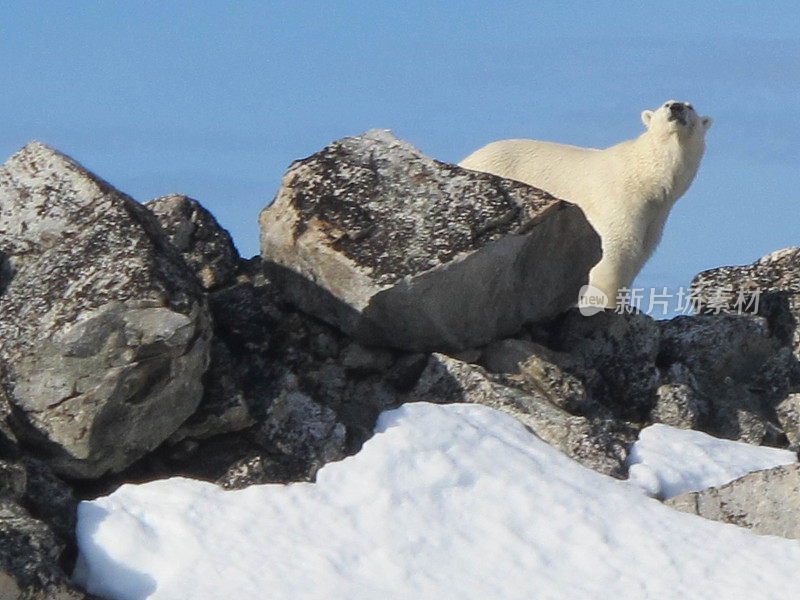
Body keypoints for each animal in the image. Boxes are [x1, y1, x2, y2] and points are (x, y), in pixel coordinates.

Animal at [456, 101, 712, 308]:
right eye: (666, 103)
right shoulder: (619, 200)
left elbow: (639, 253)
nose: (676, 107)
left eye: (689, 106)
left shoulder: (655, 215)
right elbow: (615, 251)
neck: (646, 177)